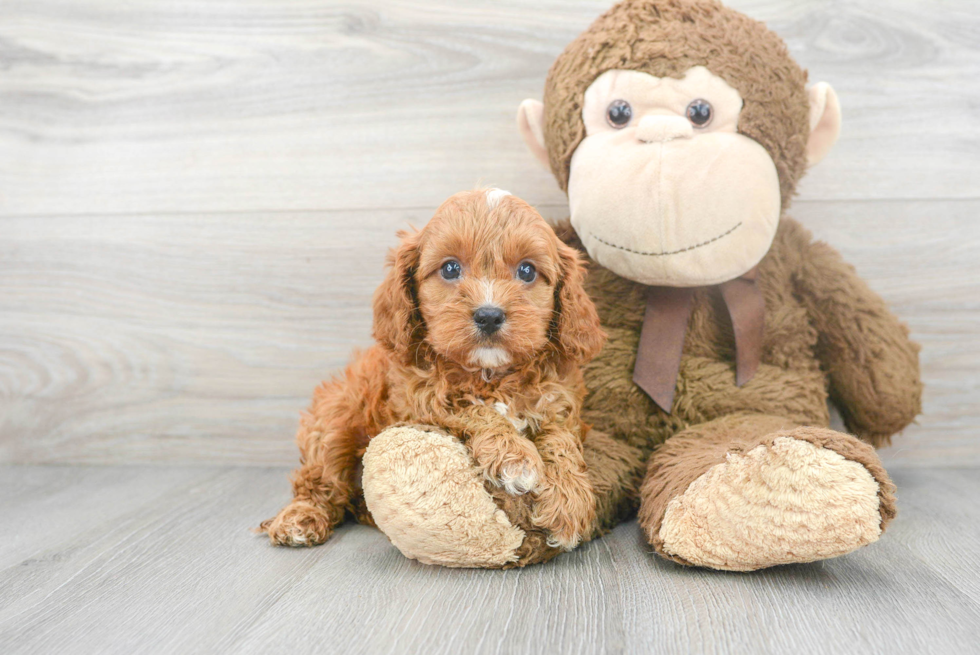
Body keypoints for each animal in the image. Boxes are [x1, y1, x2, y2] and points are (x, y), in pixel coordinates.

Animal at [260, 190, 604, 552]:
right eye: (450, 268)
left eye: (527, 271)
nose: (489, 315)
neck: (488, 374)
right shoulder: (422, 400)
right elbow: (476, 410)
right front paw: (515, 458)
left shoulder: (557, 402)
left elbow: (560, 440)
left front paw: (570, 502)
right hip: (335, 415)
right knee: (319, 477)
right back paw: (300, 517)